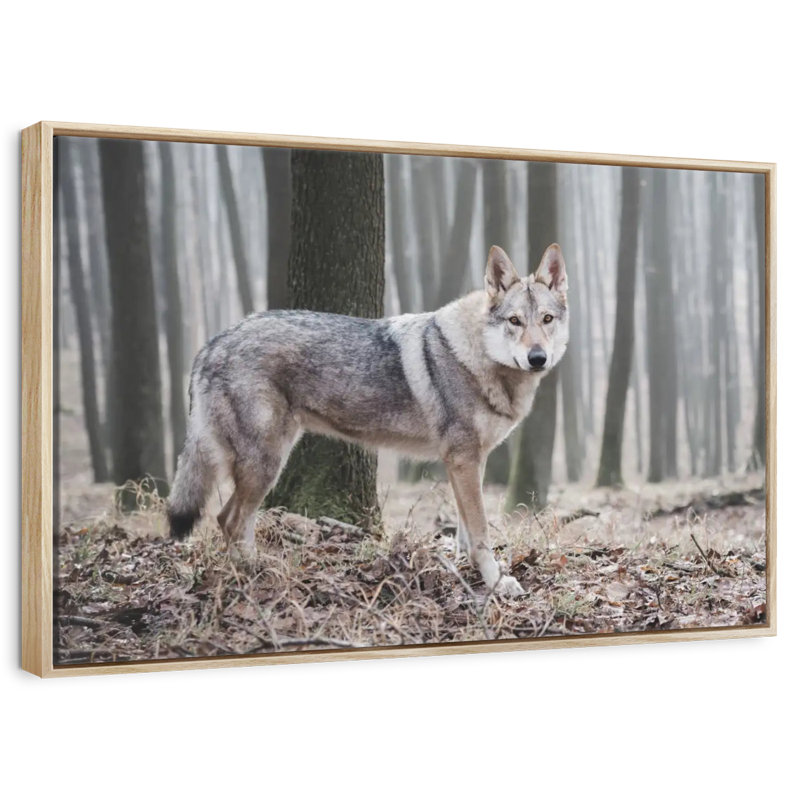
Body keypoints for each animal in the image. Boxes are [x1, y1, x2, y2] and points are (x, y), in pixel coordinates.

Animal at [167, 243, 568, 597]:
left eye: (546, 320)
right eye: (515, 321)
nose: (537, 358)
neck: (478, 357)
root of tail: (211, 345)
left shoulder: (471, 462)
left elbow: (466, 532)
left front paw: (466, 573)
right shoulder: (463, 460)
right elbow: (482, 532)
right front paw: (497, 582)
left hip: (266, 465)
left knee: (229, 519)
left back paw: (255, 569)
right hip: (266, 465)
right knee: (230, 519)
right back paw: (254, 575)